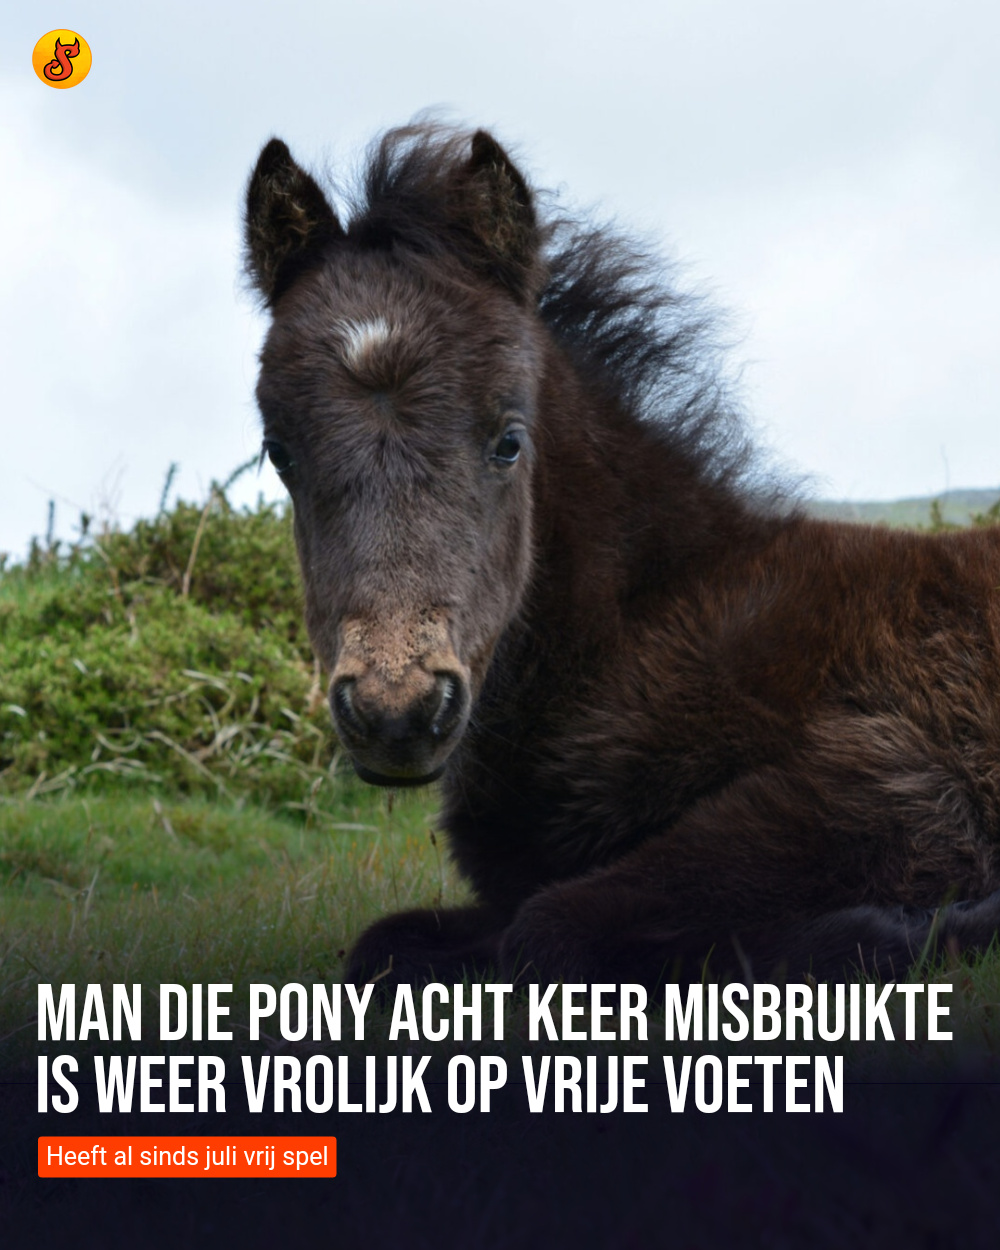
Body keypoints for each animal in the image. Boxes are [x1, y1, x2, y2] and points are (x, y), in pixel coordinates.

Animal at [243, 122, 1000, 987]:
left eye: (509, 441)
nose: (395, 714)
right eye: (280, 453)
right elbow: (388, 945)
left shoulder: (900, 789)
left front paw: (927, 926)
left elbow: (549, 930)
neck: (652, 624)